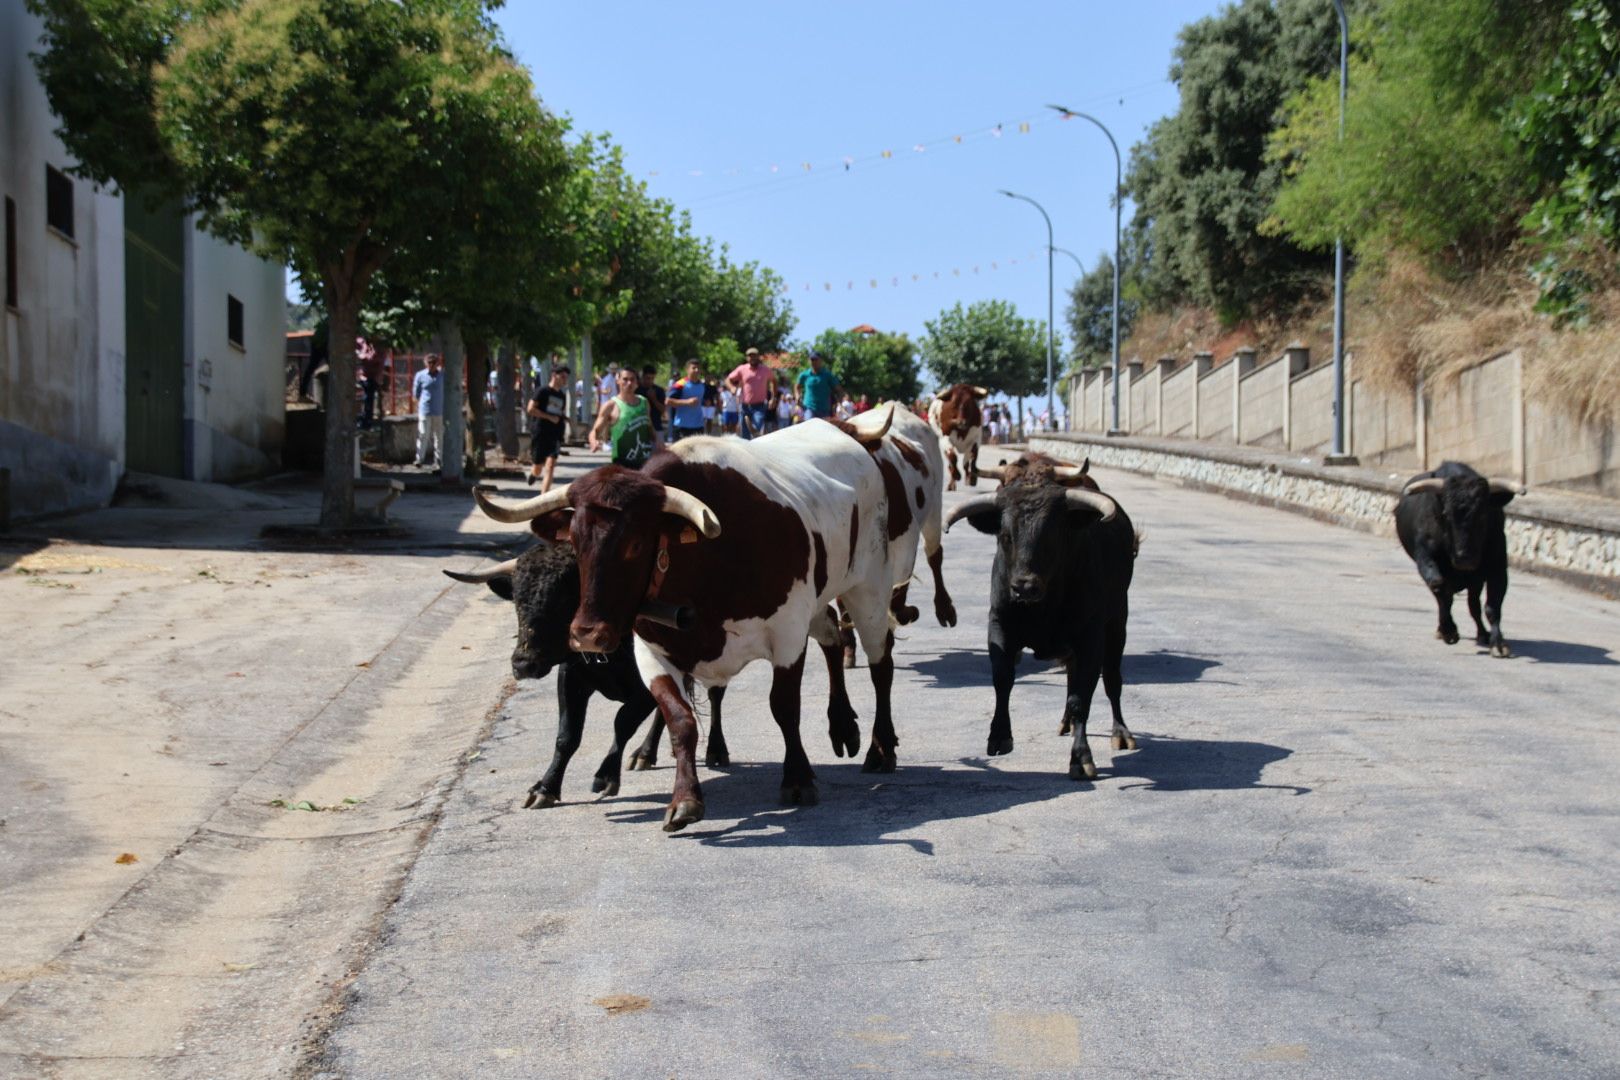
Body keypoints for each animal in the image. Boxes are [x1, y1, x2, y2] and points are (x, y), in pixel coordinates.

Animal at [473, 409, 939, 835]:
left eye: (635, 543)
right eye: (575, 540)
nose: (587, 634)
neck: (701, 563)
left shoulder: (787, 633)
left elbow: (784, 708)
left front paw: (798, 778)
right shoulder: (652, 652)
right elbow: (679, 721)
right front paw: (685, 800)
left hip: (869, 587)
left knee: (880, 664)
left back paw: (881, 749)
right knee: (832, 636)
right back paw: (843, 726)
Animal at [939, 453, 1140, 780]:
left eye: (1053, 535)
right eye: (1005, 535)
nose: (1024, 586)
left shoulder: (1090, 638)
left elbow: (1081, 697)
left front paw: (1081, 758)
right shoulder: (1000, 626)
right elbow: (1003, 679)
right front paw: (999, 736)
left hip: (1117, 623)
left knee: (1111, 679)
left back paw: (1120, 733)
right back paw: (1066, 723)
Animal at [1393, 459, 1516, 654]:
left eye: (1483, 514)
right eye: (1446, 514)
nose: (1464, 558)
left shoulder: (1497, 569)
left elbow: (1492, 606)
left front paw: (1498, 643)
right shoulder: (1427, 561)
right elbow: (1442, 593)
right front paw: (1449, 631)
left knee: (1473, 605)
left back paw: (1483, 634)